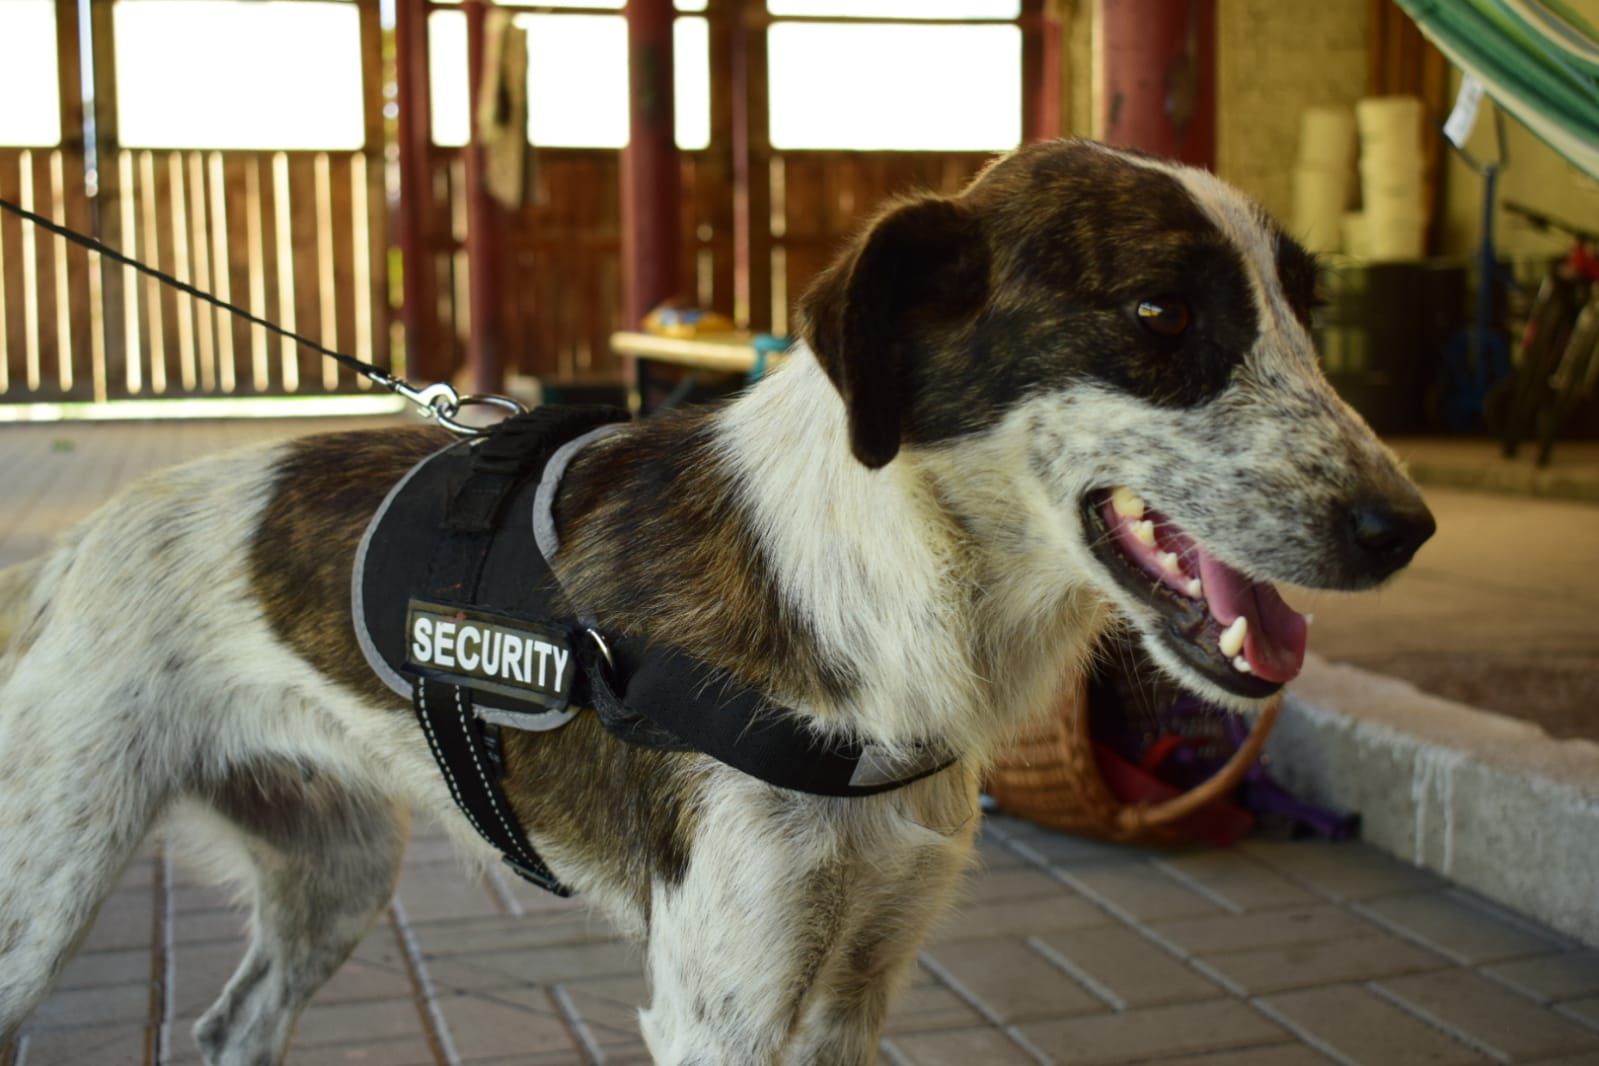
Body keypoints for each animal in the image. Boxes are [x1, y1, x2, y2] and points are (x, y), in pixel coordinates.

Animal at [0, 139, 1434, 1065]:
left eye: (1304, 315)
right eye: (1156, 309)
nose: (1404, 529)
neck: (878, 587)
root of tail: (70, 548)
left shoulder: (857, 984)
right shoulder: (723, 1003)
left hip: (336, 869)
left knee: (230, 1023)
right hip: (45, 883)